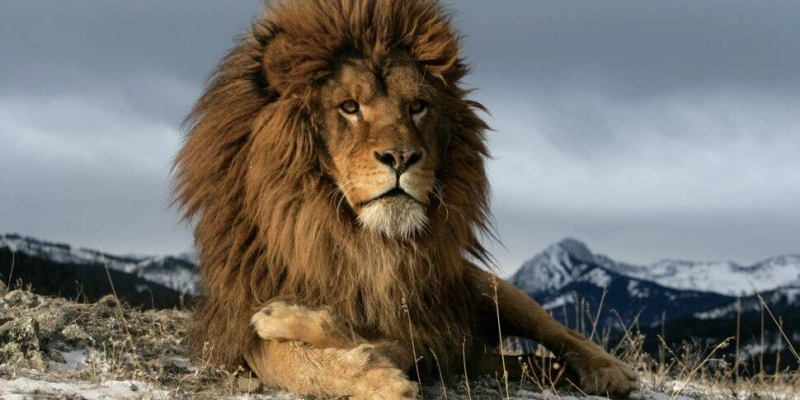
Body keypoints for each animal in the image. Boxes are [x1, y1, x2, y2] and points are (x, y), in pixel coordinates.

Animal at [174, 0, 637, 398]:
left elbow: (382, 341)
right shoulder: (237, 325)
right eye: (349, 106)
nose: (401, 156)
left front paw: (314, 333)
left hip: (491, 289)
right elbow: (292, 362)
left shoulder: (427, 329)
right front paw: (370, 374)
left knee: (563, 332)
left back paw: (608, 370)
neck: (360, 243)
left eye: (417, 106)